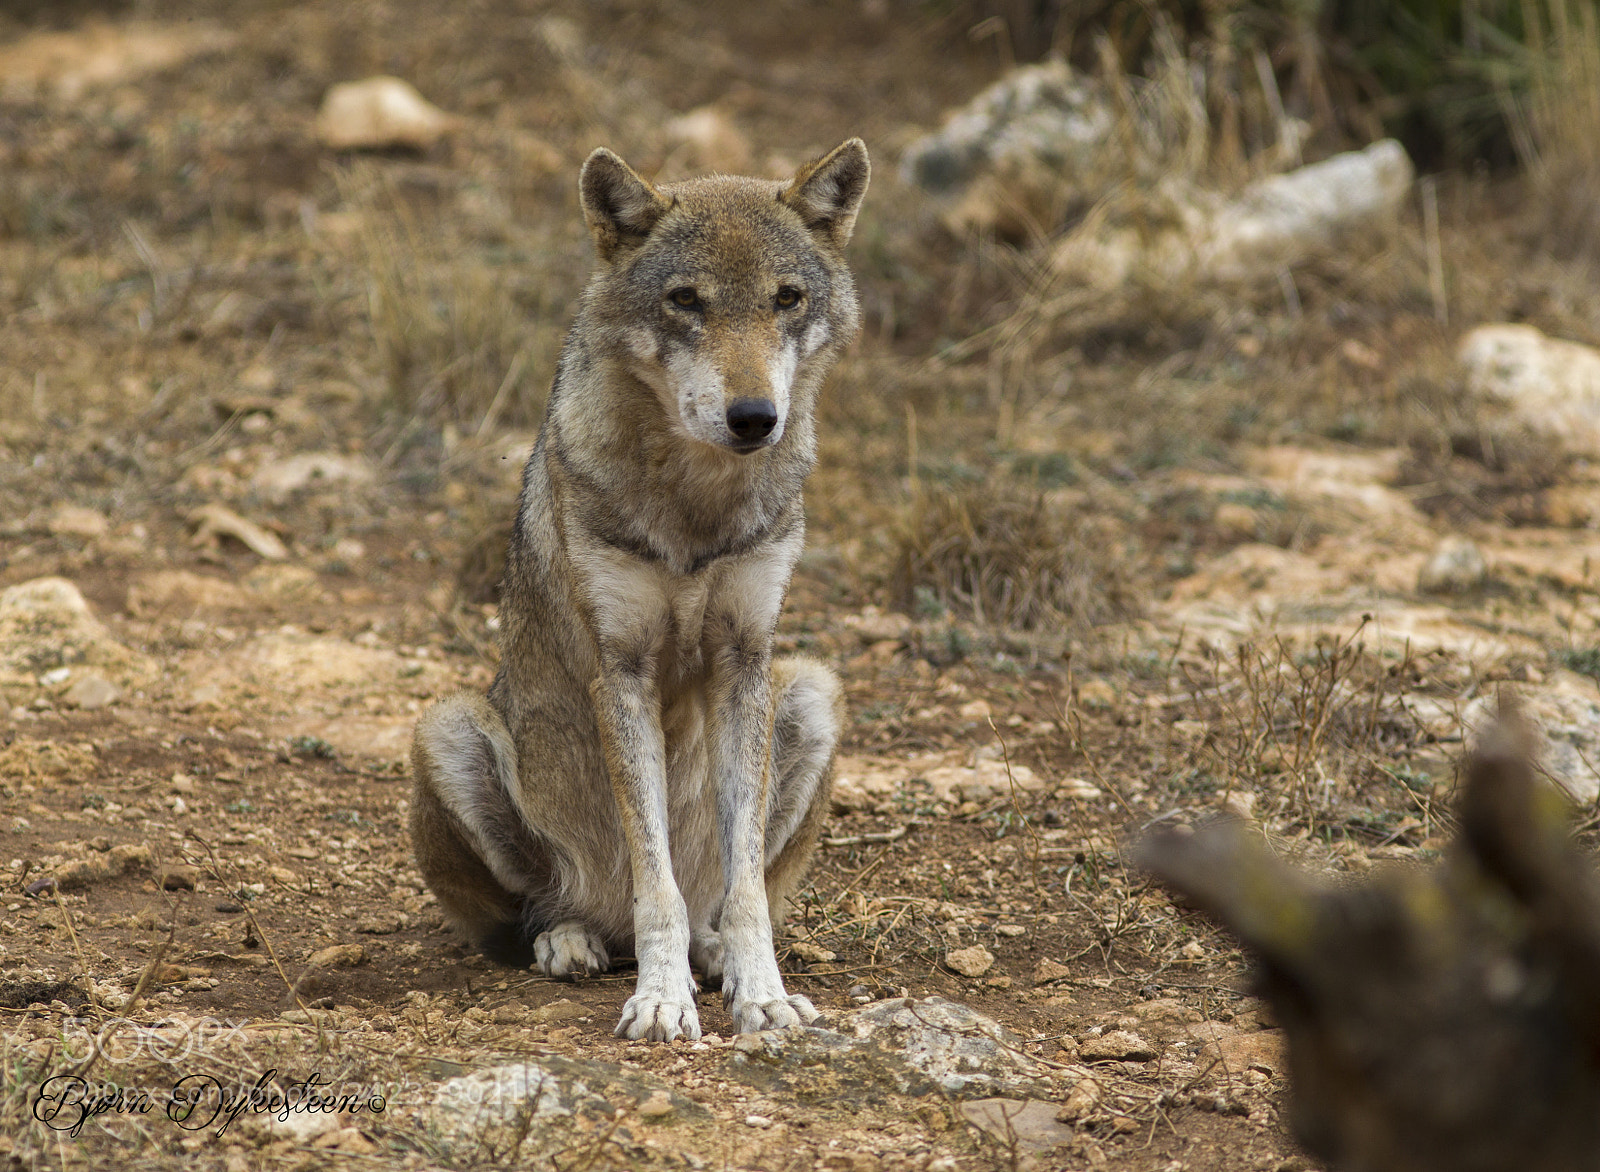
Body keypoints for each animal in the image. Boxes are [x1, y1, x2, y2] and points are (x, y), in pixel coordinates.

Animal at [409, 139, 869, 1042]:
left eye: (787, 299)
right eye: (685, 300)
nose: (754, 416)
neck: (696, 504)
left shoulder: (746, 660)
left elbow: (745, 890)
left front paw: (761, 994)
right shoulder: (621, 671)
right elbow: (653, 880)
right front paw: (661, 1001)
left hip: (813, 691)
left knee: (715, 901)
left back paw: (712, 954)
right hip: (445, 726)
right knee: (550, 913)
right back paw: (572, 941)